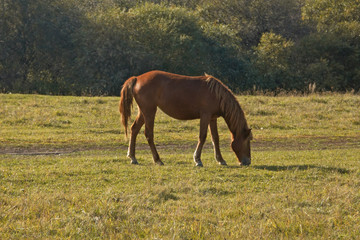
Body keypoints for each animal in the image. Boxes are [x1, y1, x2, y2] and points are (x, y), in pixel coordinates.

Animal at [119, 70, 252, 166]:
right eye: (248, 140)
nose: (247, 162)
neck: (216, 94)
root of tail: (137, 78)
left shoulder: (212, 118)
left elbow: (215, 138)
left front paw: (220, 160)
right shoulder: (205, 116)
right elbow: (202, 137)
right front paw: (198, 160)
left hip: (143, 112)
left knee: (134, 129)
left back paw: (133, 157)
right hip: (149, 112)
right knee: (148, 134)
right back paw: (158, 160)